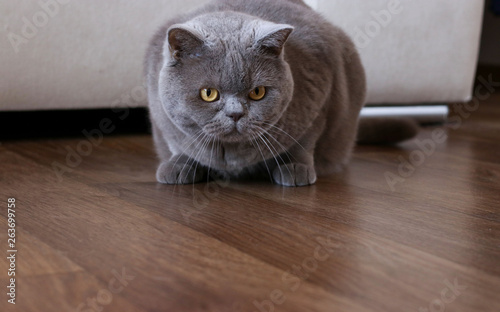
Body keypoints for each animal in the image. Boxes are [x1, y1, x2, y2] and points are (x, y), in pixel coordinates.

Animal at [144, 0, 414, 185]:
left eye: (257, 92)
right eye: (208, 93)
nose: (235, 114)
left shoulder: (321, 96)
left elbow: (303, 142)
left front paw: (295, 168)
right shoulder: (161, 117)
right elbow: (179, 143)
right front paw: (179, 166)